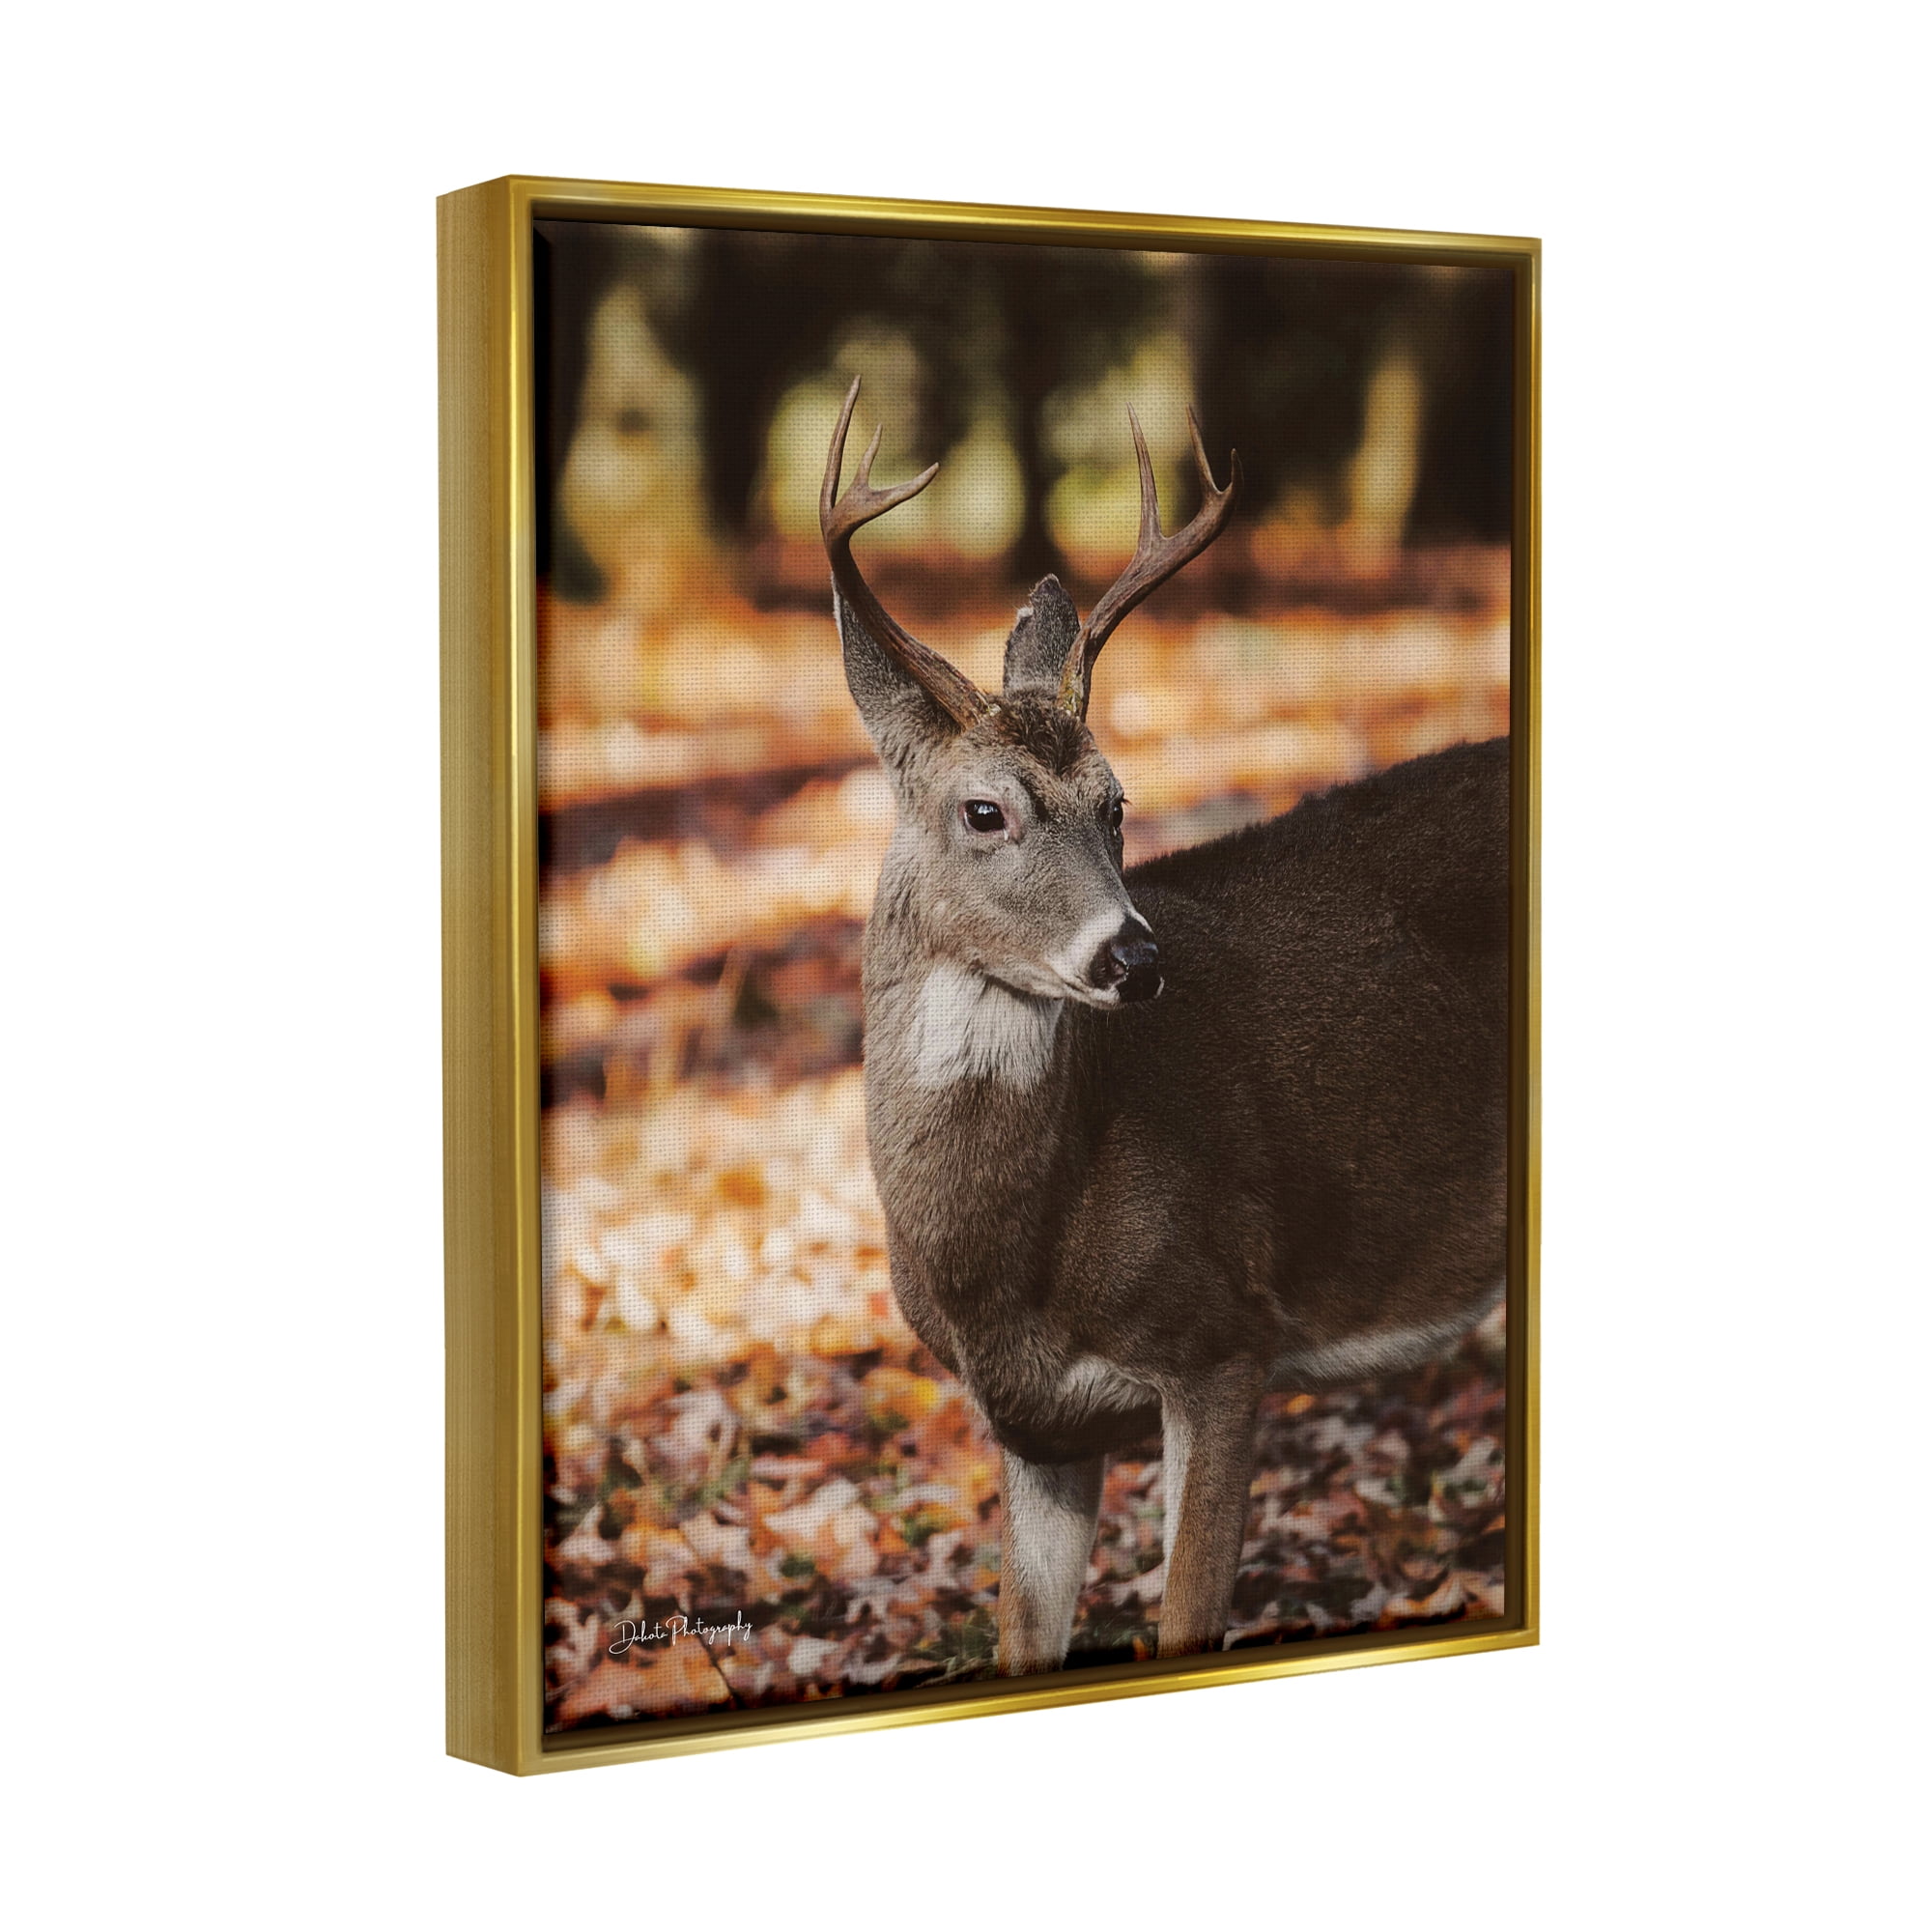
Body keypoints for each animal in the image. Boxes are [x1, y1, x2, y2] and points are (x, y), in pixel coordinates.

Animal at [821, 378, 1510, 1676]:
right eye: (983, 809)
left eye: (1116, 803)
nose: (1134, 957)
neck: (1009, 1266)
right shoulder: (1036, 1428)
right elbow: (1023, 1639)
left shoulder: (1223, 1338)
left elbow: (1187, 1613)